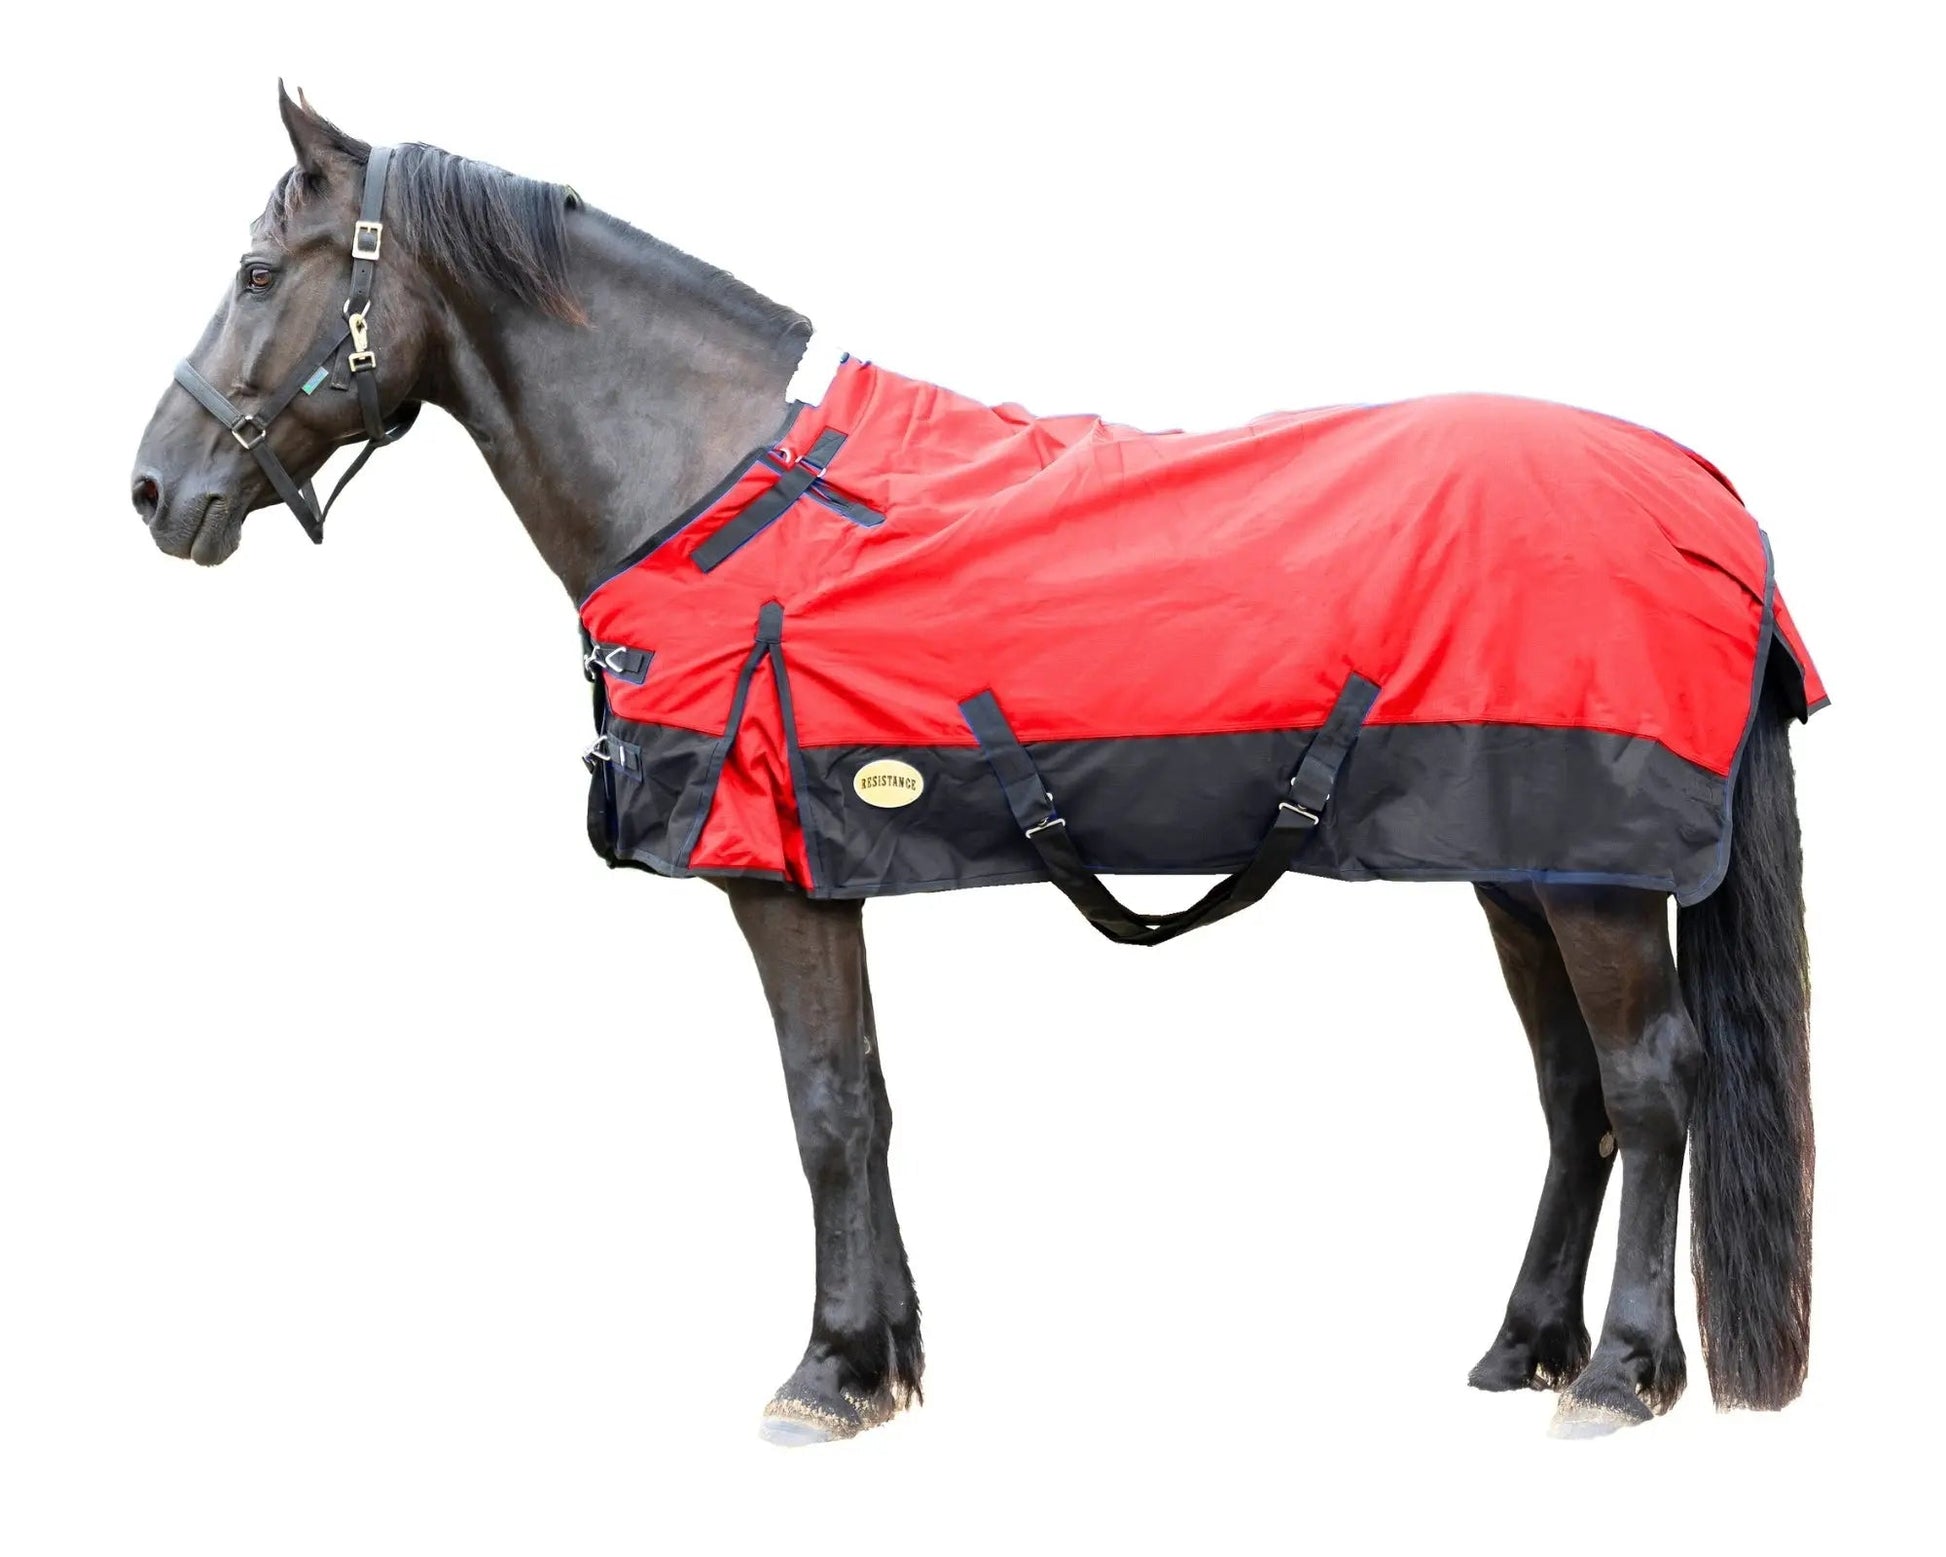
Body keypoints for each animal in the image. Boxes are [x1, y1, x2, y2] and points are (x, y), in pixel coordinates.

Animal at [129, 87, 1817, 1443]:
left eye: (257, 273)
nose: (153, 487)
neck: (713, 483)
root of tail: (1703, 495)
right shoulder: (825, 872)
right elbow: (868, 1099)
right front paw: (885, 1361)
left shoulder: (772, 879)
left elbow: (820, 1106)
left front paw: (823, 1375)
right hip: (1519, 865)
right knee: (1571, 1088)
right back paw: (1523, 1346)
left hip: (1594, 878)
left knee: (1649, 1081)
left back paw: (1619, 1373)